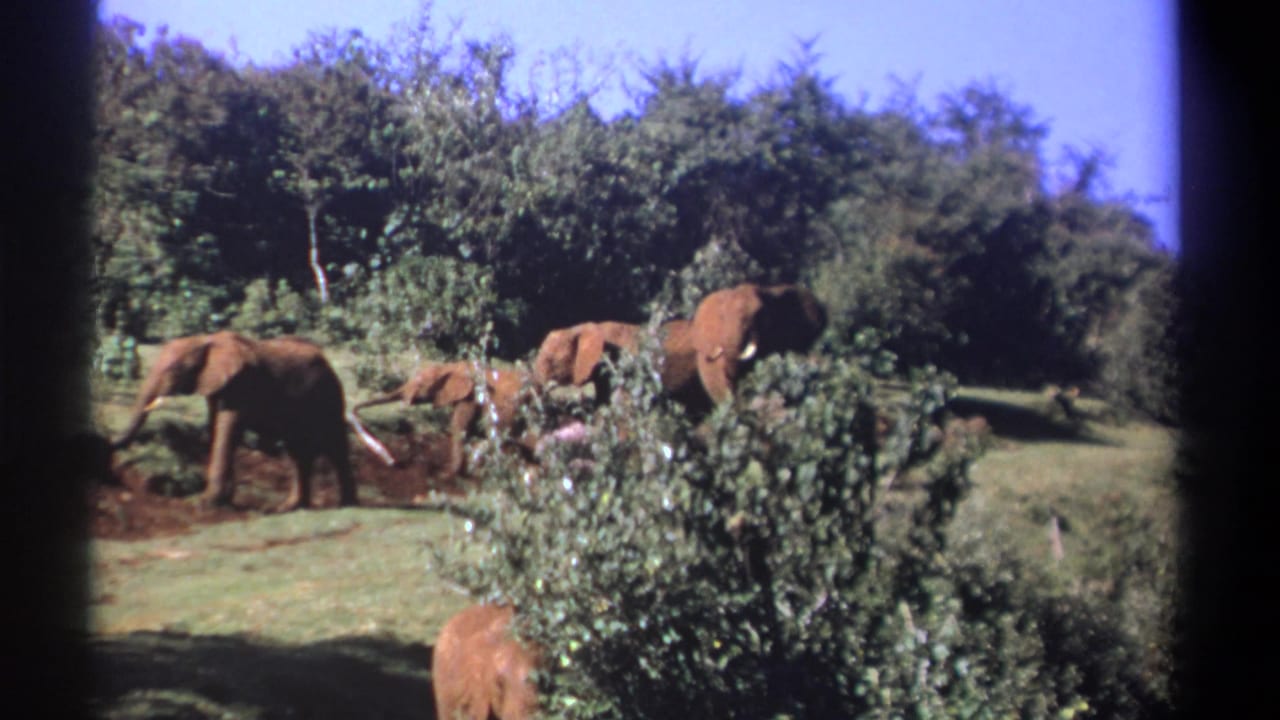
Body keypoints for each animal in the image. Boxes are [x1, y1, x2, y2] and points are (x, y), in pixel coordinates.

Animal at [111, 331, 395, 512]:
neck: (205, 340)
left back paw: (346, 505)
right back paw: (291, 507)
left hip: (328, 394)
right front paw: (225, 500)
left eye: (174, 370)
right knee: (298, 452)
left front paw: (206, 504)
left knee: (332, 445)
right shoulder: (217, 386)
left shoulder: (242, 385)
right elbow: (216, 429)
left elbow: (228, 430)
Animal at [351, 361, 530, 478]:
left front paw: (445, 475)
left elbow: (459, 427)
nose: (393, 462)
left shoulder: (471, 397)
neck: (453, 366)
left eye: (421, 384)